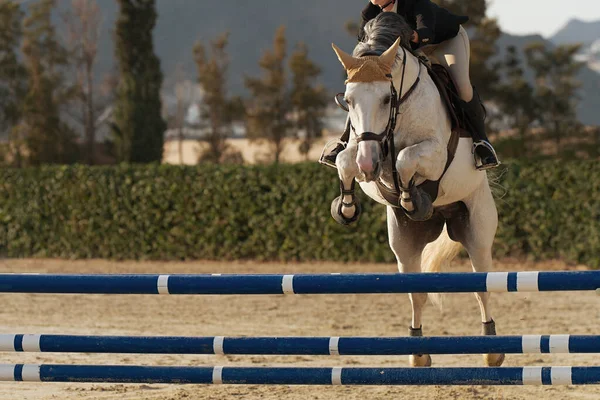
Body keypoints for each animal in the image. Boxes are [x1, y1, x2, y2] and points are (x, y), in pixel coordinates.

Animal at [330, 14, 504, 368]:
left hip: (478, 230)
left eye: (387, 98)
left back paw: (491, 349)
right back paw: (418, 352)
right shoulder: (363, 150)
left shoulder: (434, 153)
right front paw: (346, 207)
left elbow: (405, 158)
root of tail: (444, 217)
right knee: (417, 292)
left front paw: (412, 196)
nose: (368, 163)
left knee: (482, 287)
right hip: (404, 242)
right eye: (348, 101)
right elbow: (344, 159)